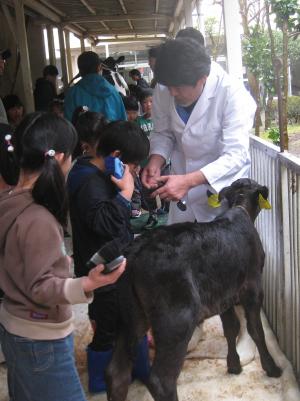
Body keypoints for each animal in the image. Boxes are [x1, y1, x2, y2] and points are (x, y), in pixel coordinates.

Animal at [106, 178, 282, 400]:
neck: (240, 207)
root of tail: (135, 250)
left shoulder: (223, 293)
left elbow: (230, 328)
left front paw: (234, 366)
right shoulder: (253, 287)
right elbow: (256, 330)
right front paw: (271, 368)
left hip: (130, 317)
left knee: (117, 373)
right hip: (176, 320)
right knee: (161, 380)